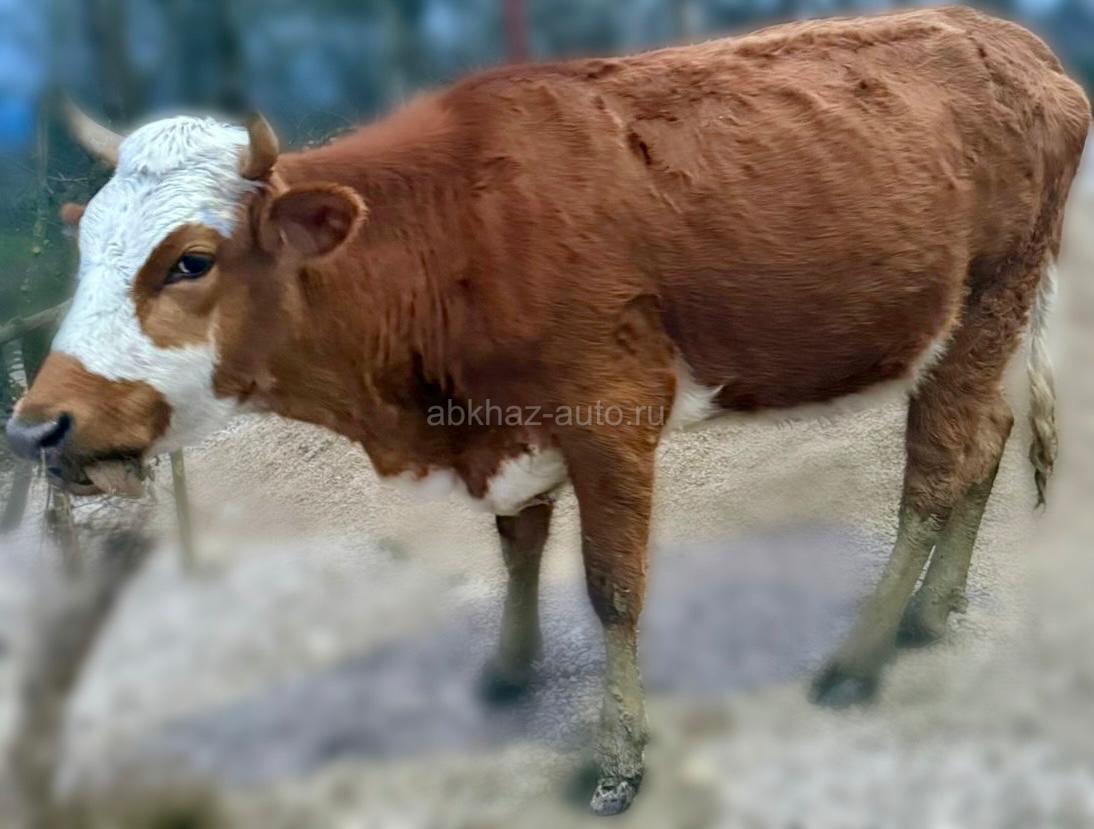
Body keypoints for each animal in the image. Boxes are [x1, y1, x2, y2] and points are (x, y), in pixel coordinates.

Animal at [5, 6, 1090, 816]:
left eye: (191, 259)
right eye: (87, 244)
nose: (33, 427)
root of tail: (1012, 39)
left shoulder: (610, 413)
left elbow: (611, 588)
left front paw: (617, 759)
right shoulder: (503, 421)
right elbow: (517, 542)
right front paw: (508, 665)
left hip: (982, 303)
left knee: (935, 472)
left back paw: (860, 655)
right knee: (986, 441)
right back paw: (934, 609)